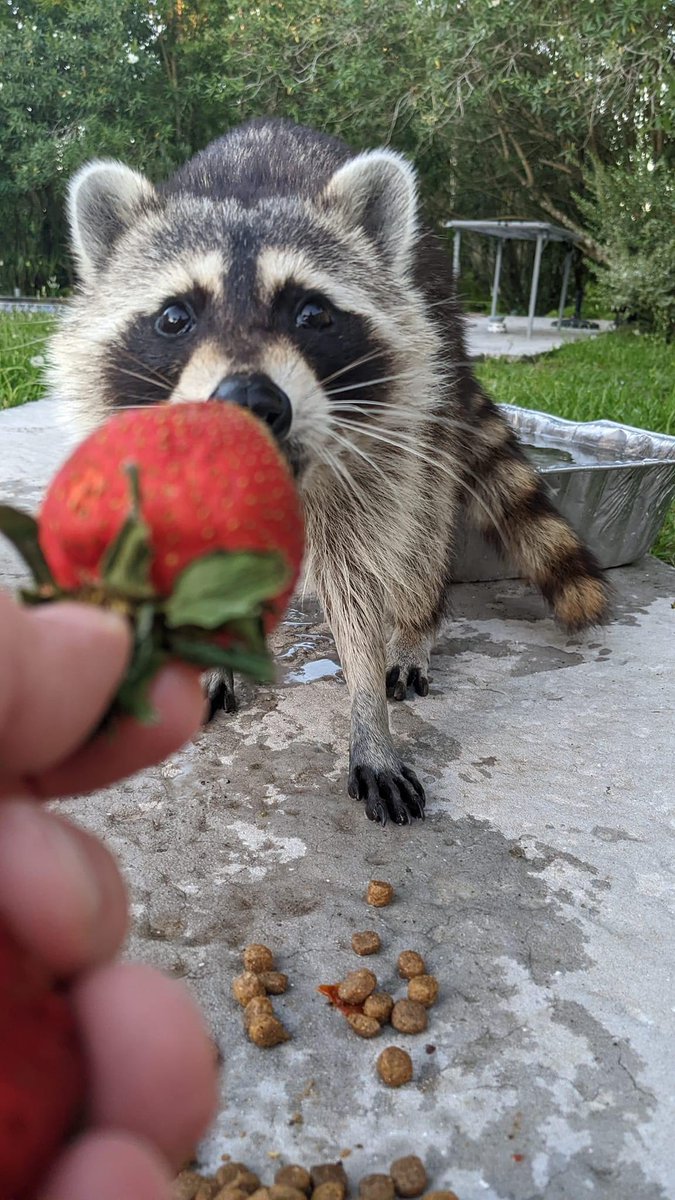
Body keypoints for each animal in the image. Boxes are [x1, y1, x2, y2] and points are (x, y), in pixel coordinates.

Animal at [49, 117, 609, 826]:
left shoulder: (371, 460)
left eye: (311, 313)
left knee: (420, 535)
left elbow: (361, 581)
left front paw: (368, 715)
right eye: (175, 317)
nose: (250, 401)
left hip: (432, 393)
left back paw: (416, 629)